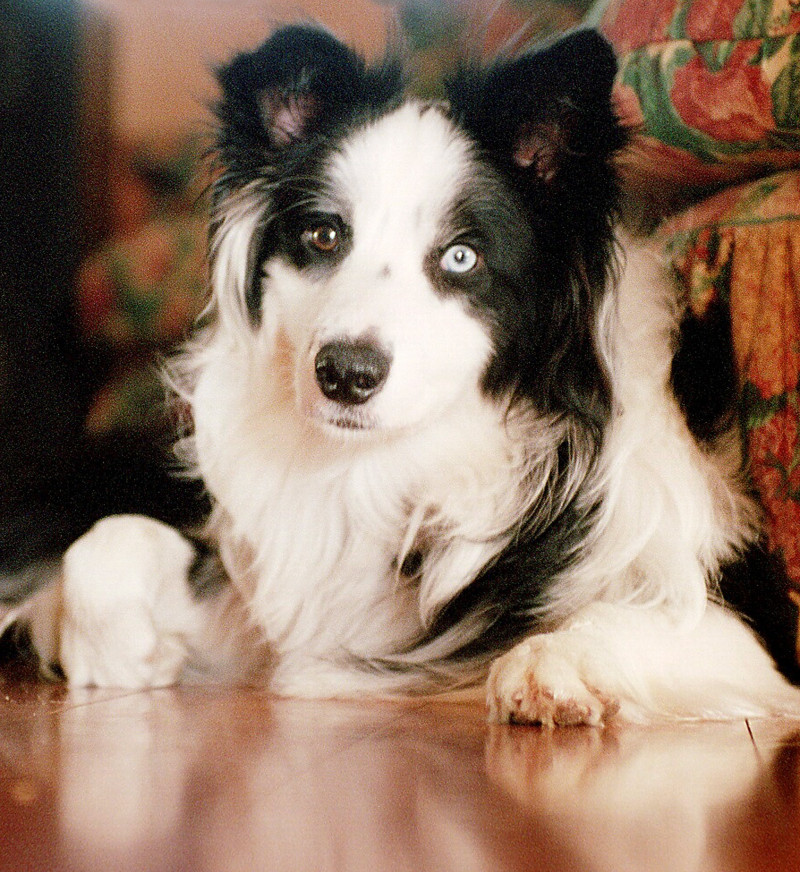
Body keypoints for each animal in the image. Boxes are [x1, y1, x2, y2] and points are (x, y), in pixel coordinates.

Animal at [10, 24, 800, 725]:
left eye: (461, 257)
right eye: (324, 234)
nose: (345, 374)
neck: (392, 462)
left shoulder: (755, 635)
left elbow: (637, 615)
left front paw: (552, 664)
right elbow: (103, 546)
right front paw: (116, 650)